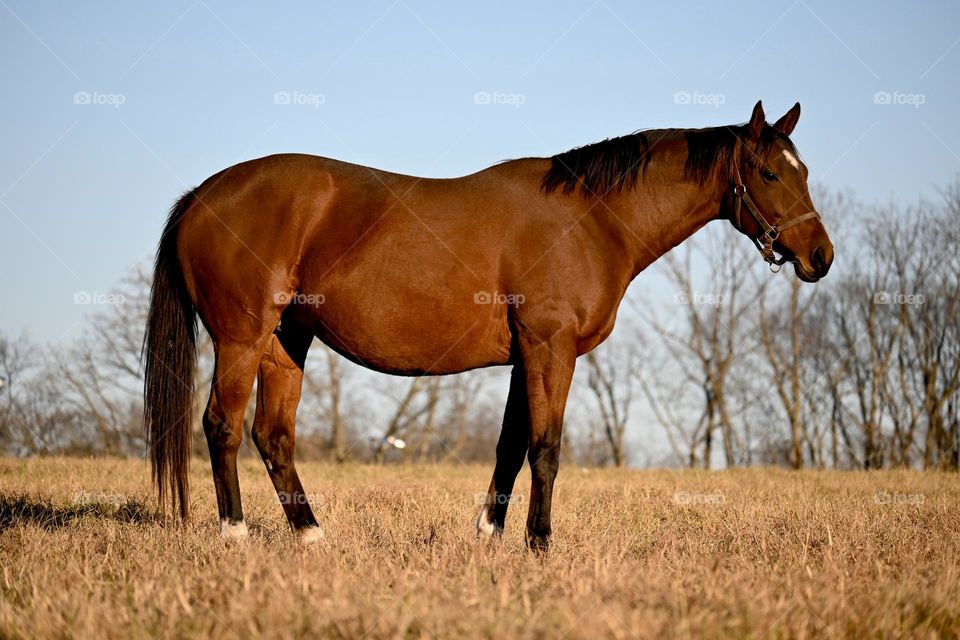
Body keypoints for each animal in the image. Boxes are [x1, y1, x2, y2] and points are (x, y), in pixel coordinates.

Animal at [143, 100, 833, 550]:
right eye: (770, 172)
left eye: (803, 170)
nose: (820, 256)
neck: (591, 218)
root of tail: (202, 195)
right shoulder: (551, 348)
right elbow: (546, 448)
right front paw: (540, 544)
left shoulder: (525, 355)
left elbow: (510, 446)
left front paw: (491, 535)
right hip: (242, 338)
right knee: (223, 426)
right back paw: (234, 534)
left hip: (287, 341)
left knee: (273, 436)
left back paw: (312, 536)